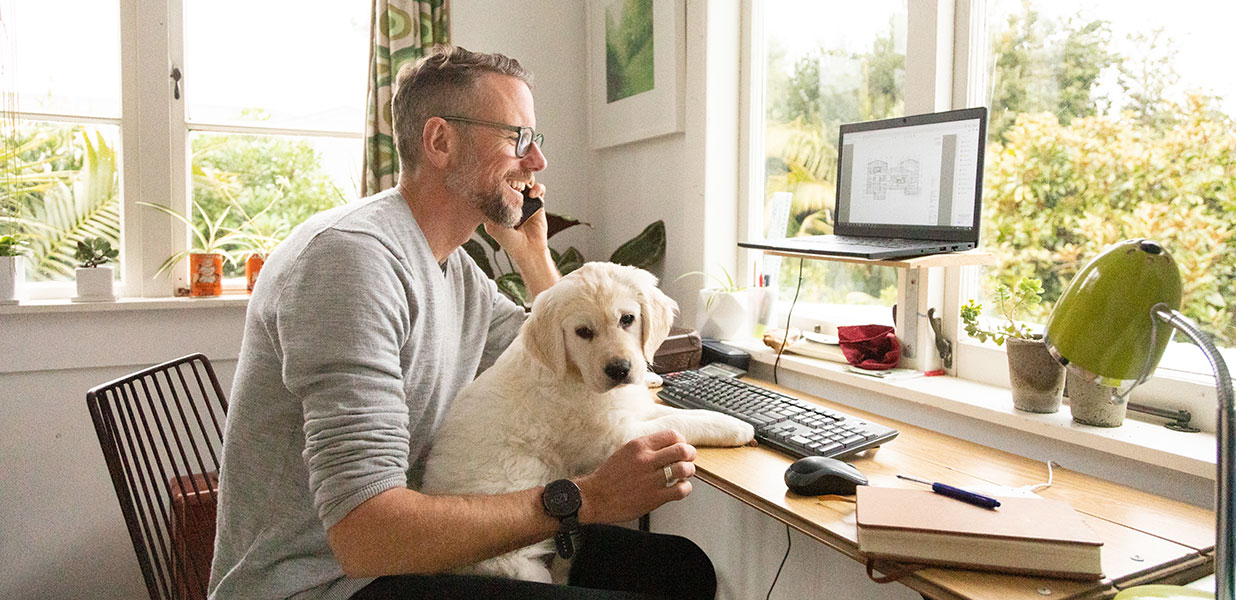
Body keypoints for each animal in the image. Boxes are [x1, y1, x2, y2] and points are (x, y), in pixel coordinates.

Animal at [422, 261, 751, 578]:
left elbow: (677, 413)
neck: (574, 374)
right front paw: (735, 427)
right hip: (517, 564)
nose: (619, 370)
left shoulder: (632, 409)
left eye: (627, 319)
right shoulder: (614, 439)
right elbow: (677, 422)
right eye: (583, 332)